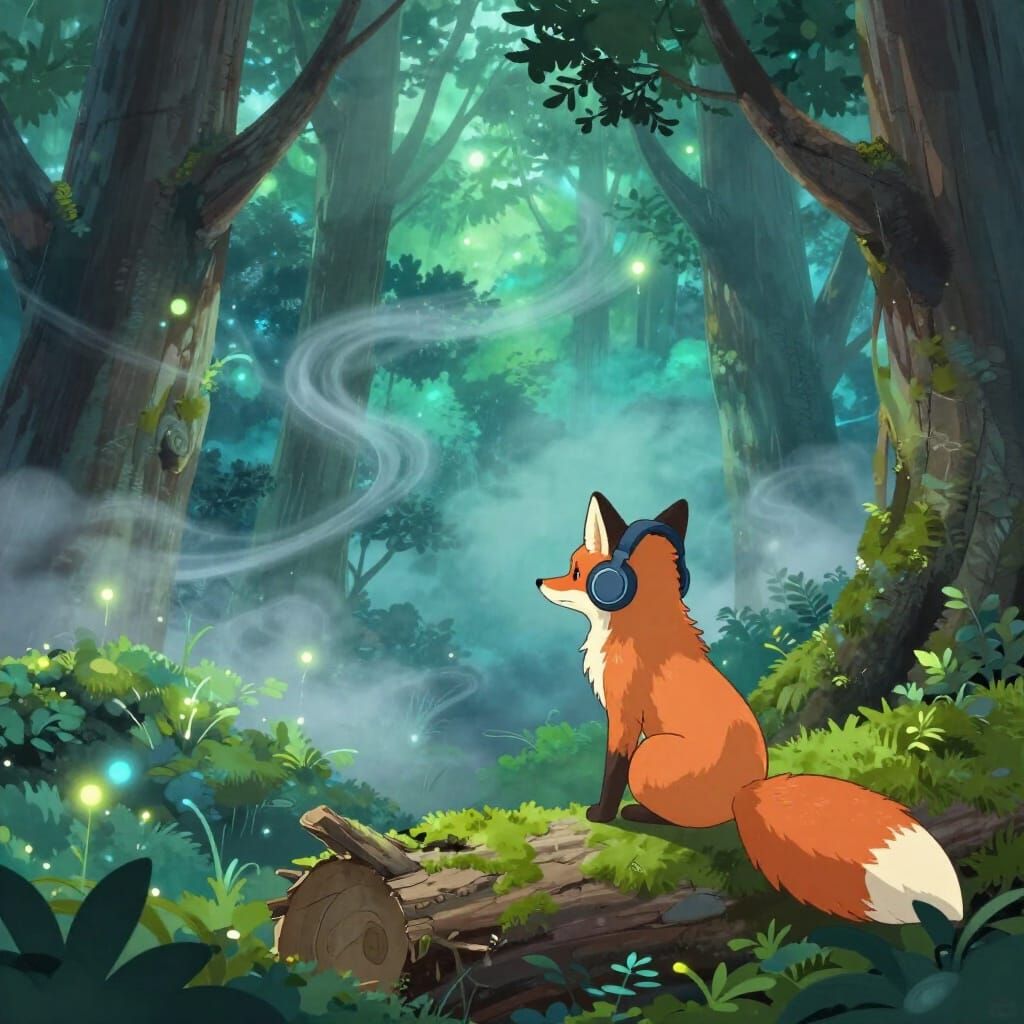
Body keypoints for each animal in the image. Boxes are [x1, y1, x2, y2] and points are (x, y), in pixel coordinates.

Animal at [536, 492, 964, 925]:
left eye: (575, 570)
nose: (538, 582)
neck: (640, 627)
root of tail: (746, 793)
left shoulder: (623, 718)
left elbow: (611, 772)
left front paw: (601, 813)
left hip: (648, 755)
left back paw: (639, 813)